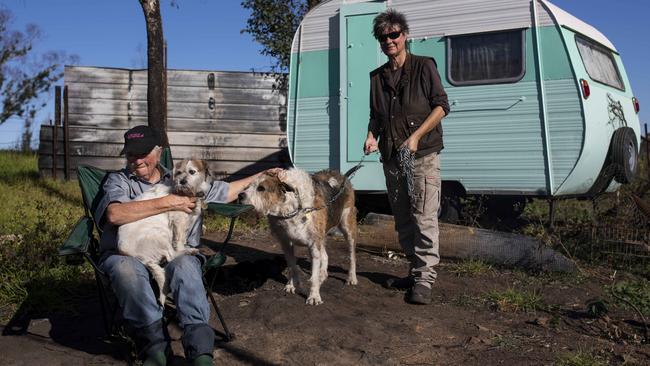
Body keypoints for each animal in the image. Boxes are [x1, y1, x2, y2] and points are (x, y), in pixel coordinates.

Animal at [119, 159, 213, 304]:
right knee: (172, 255)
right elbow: (179, 242)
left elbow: (182, 239)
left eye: (192, 172)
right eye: (178, 173)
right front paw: (184, 248)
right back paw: (190, 251)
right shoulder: (179, 220)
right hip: (160, 234)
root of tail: (139, 257)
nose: (182, 181)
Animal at [239, 167, 356, 304]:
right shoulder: (286, 243)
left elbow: (313, 276)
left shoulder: (313, 245)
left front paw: (314, 296)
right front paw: (292, 285)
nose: (240, 195)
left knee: (351, 256)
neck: (291, 208)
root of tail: (340, 175)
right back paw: (322, 275)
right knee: (325, 256)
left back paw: (351, 277)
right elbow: (292, 266)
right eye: (248, 186)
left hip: (347, 227)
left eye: (261, 188)